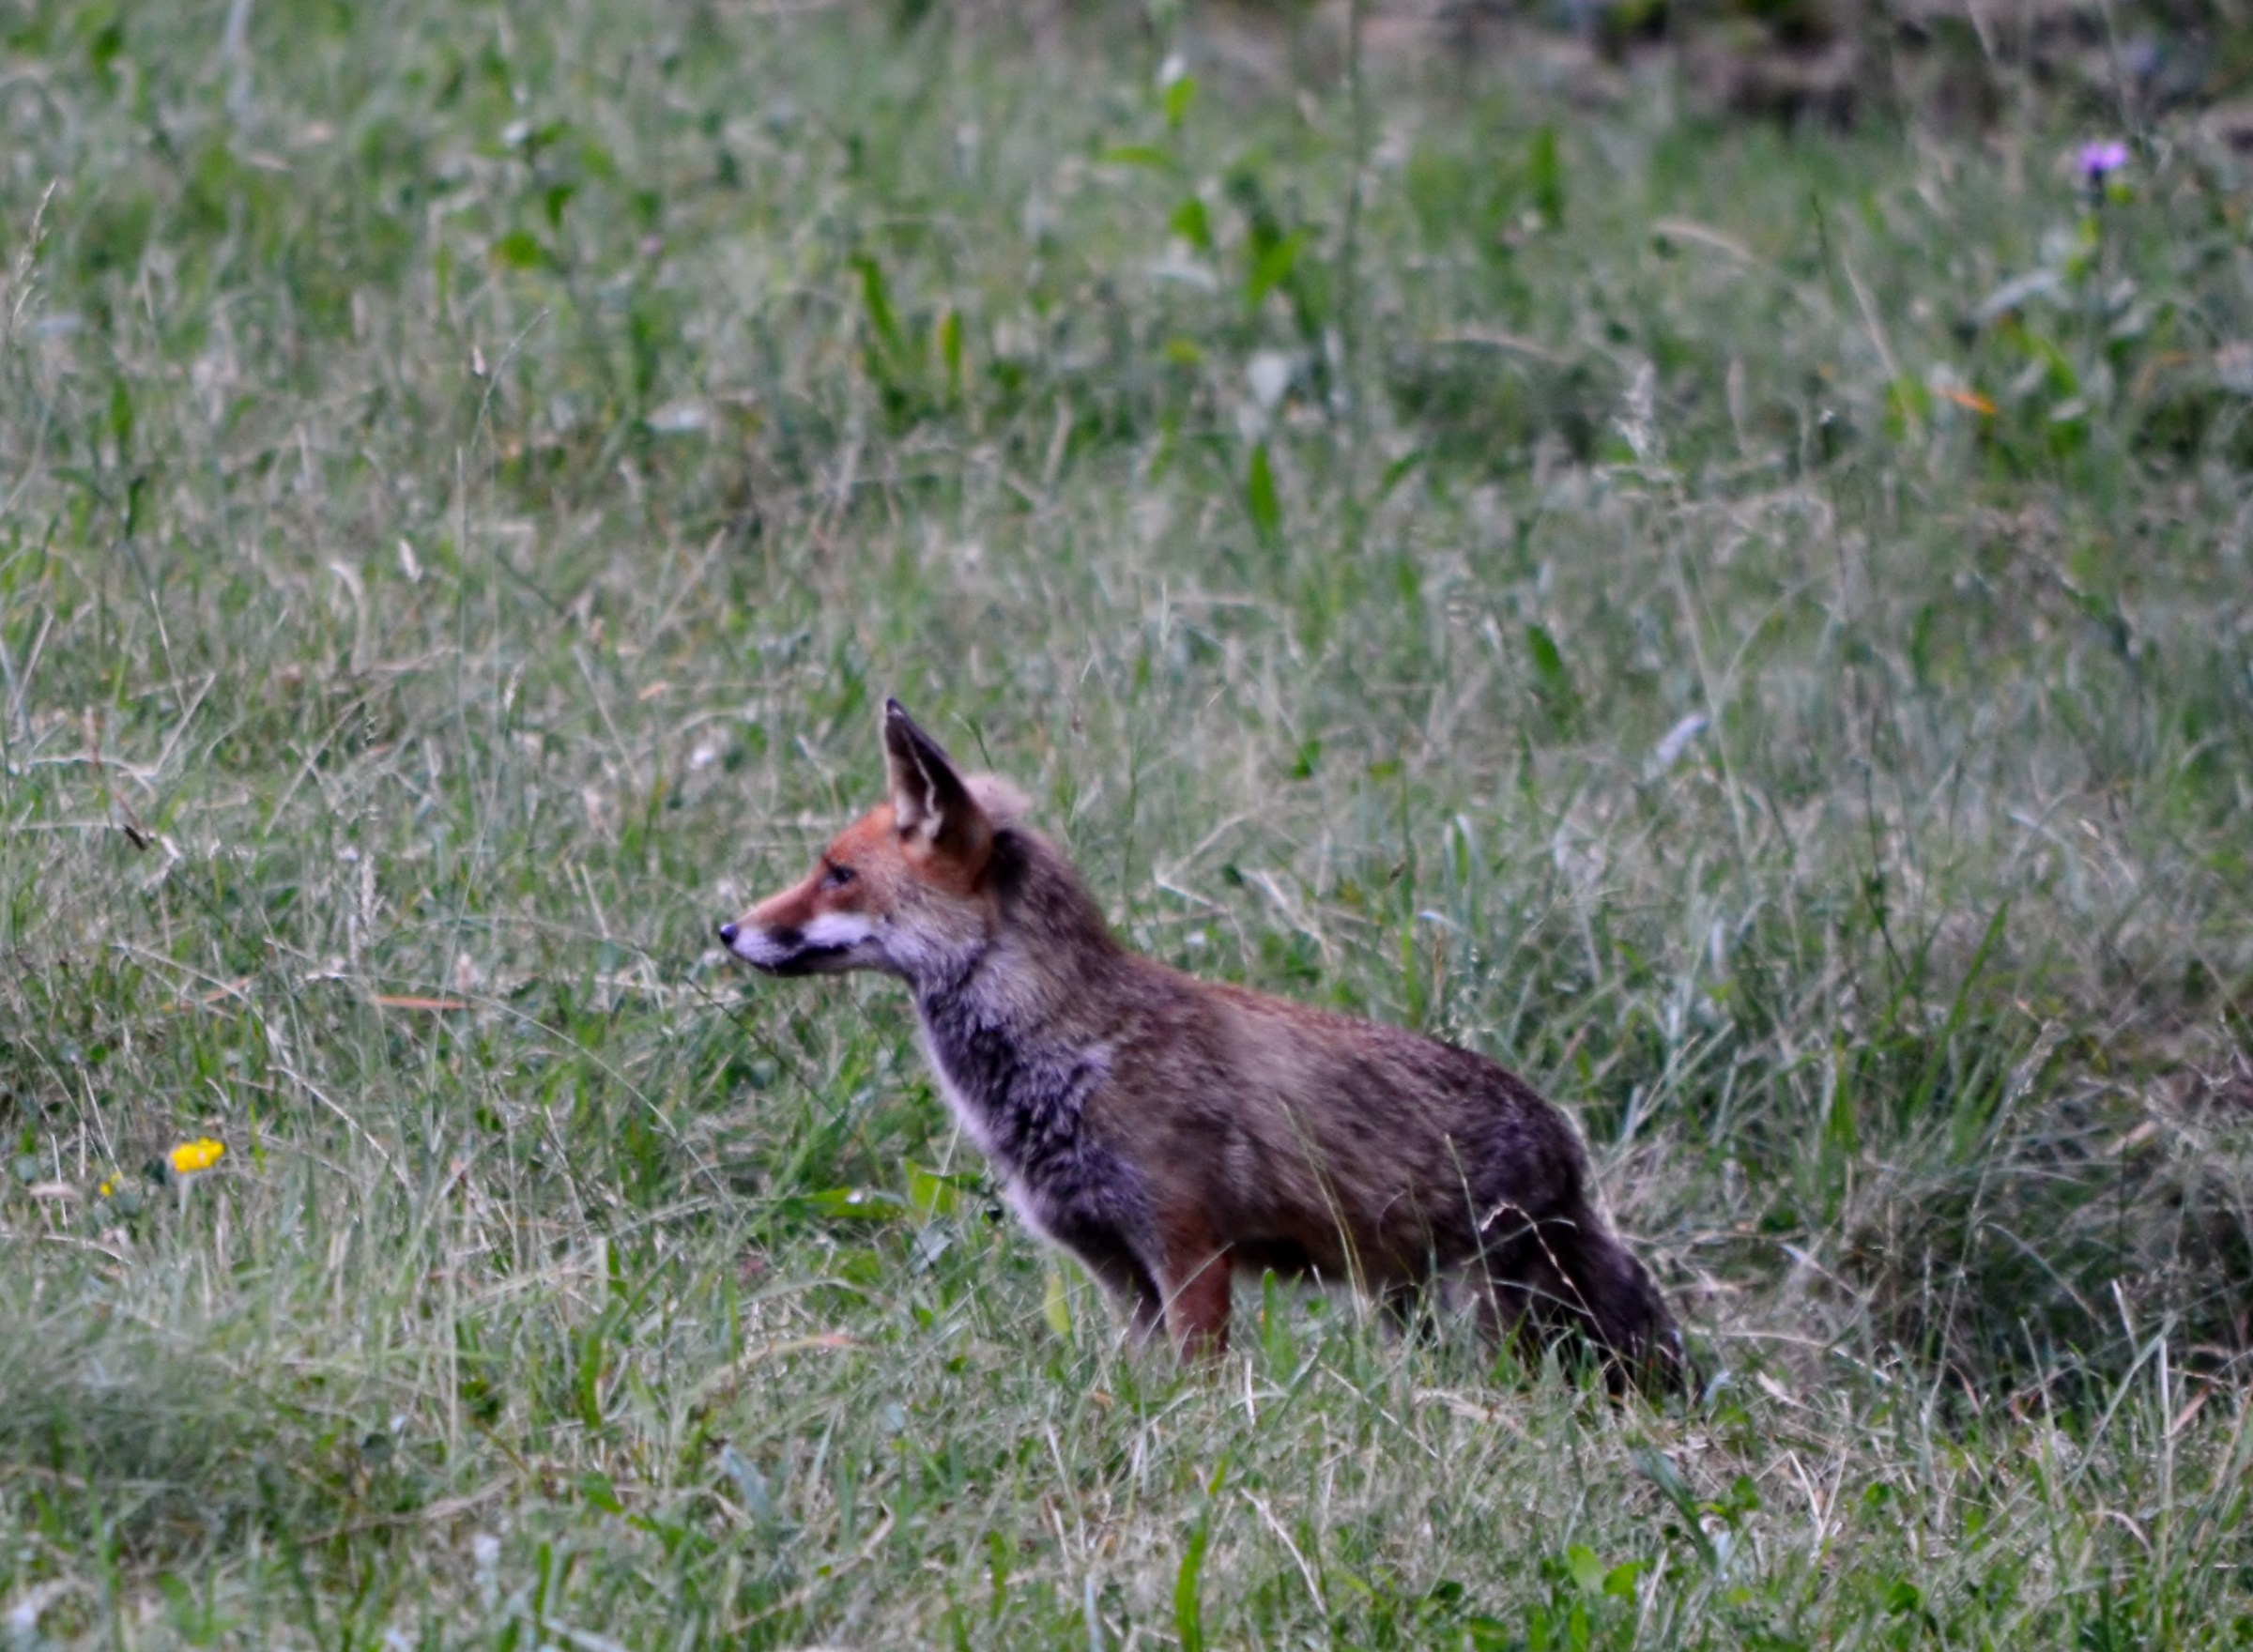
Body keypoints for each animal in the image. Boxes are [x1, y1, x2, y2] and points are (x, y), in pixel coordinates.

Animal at [720, 700, 1688, 1394]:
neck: (1073, 1060)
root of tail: (1565, 1145)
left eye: (838, 875)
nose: (727, 930)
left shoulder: (1190, 1253)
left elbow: (1201, 1389)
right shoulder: (1115, 1268)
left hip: (1494, 1308)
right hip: (1404, 1302)